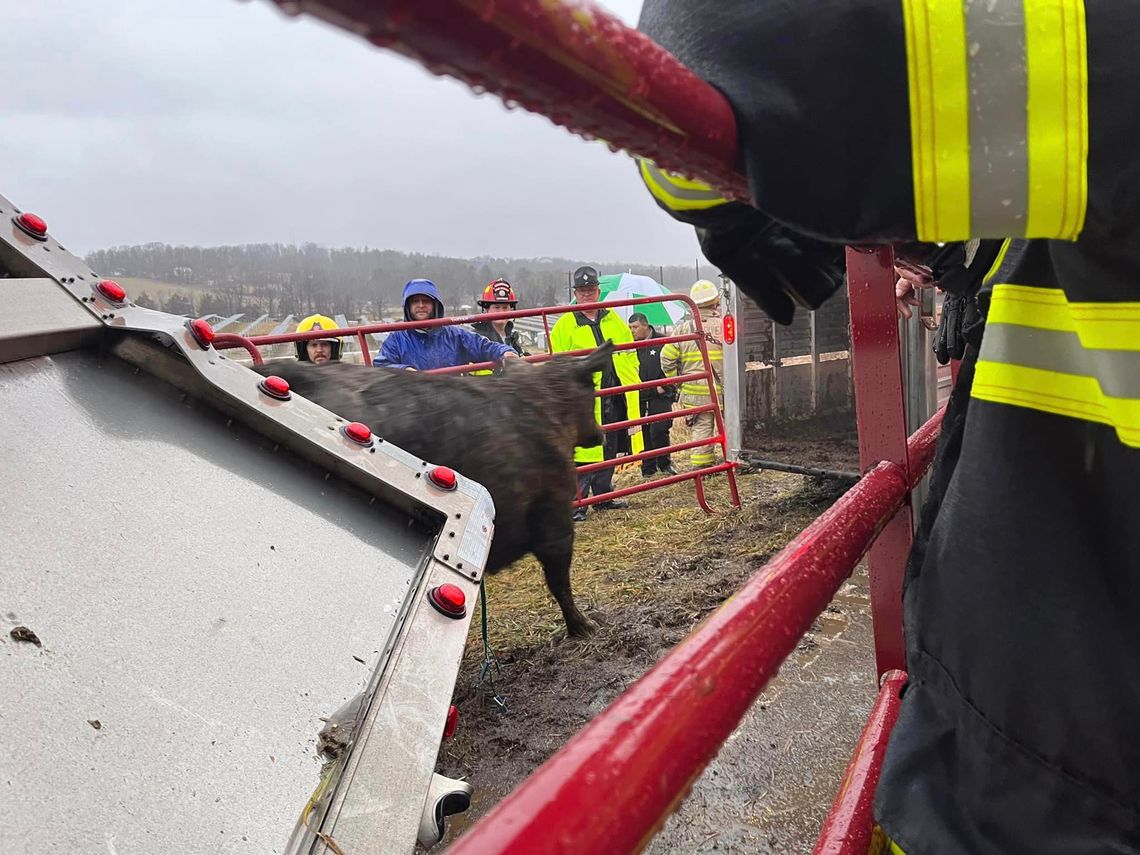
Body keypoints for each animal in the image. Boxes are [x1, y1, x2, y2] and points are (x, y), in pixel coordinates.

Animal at [250, 346, 615, 638]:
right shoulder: (554, 516)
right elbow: (559, 581)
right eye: (593, 387)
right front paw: (583, 627)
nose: (600, 434)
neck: (544, 406)